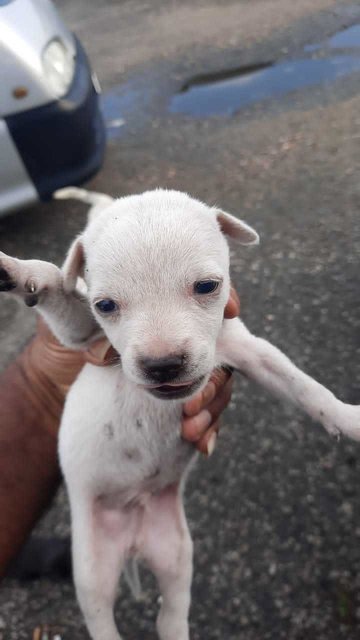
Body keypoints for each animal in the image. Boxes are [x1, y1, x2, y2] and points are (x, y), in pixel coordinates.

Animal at [0, 186, 360, 640]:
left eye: (207, 286)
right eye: (105, 304)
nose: (163, 365)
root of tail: (134, 538)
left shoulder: (251, 351)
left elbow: (306, 387)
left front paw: (349, 418)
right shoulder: (81, 337)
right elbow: (59, 291)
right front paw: (19, 272)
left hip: (176, 554)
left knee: (170, 613)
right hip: (91, 569)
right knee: (101, 618)